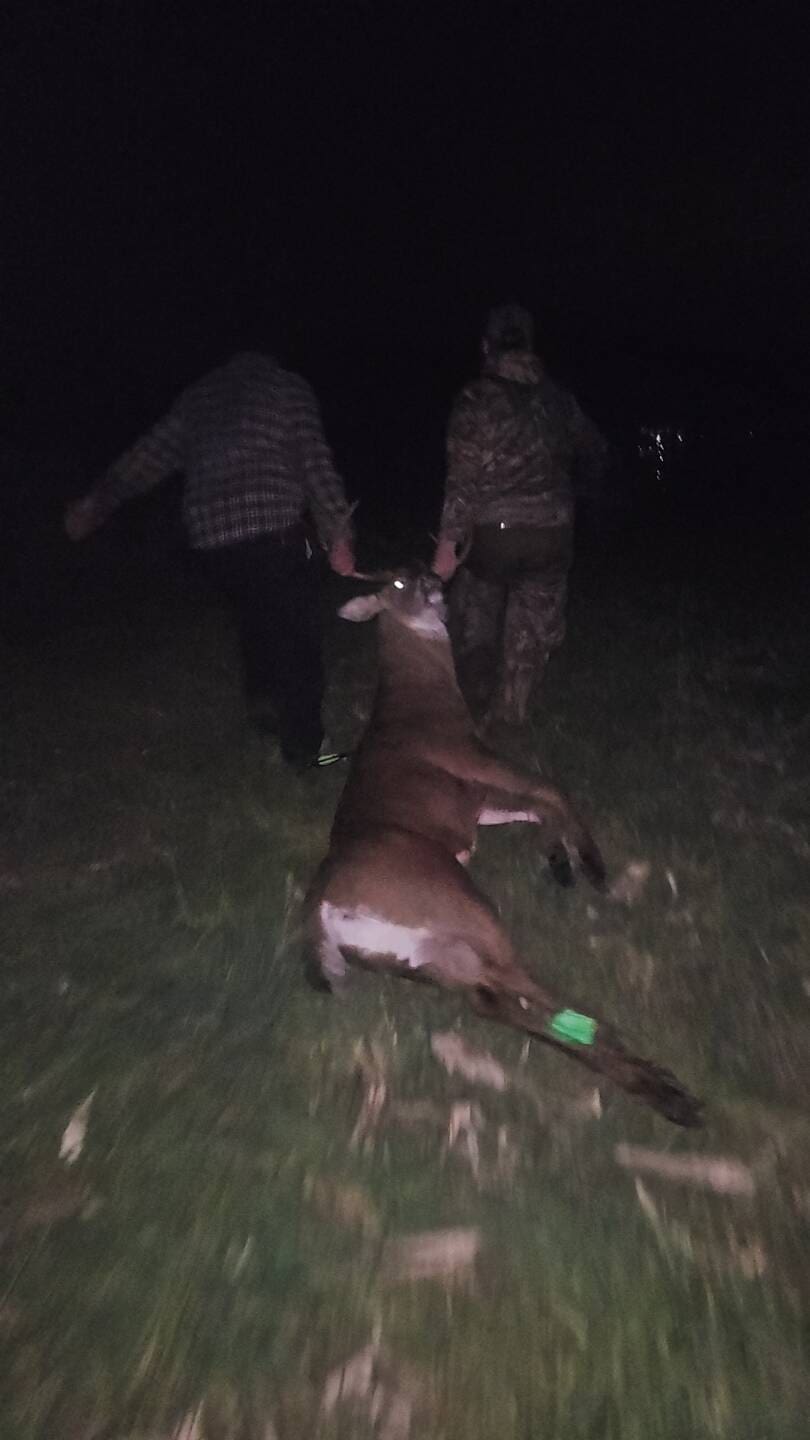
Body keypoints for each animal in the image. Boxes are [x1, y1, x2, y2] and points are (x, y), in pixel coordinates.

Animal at [305, 565, 702, 1128]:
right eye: (398, 585)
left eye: (417, 567)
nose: (431, 579)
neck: (422, 700)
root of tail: (320, 912)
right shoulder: (473, 758)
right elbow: (551, 789)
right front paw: (591, 865)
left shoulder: (475, 800)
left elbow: (537, 806)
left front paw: (561, 860)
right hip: (461, 908)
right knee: (527, 992)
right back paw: (658, 1080)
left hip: (423, 955)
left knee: (492, 1002)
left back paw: (660, 1091)